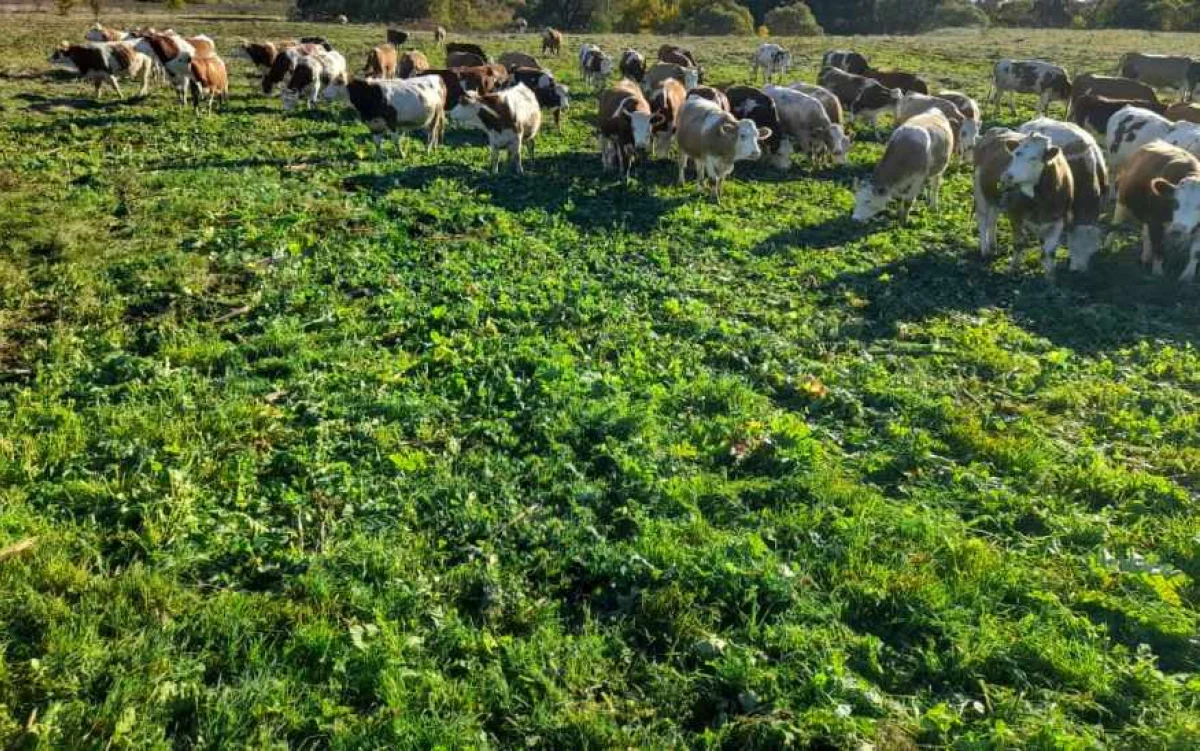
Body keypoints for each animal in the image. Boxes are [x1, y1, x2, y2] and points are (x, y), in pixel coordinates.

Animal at [1114, 141, 1200, 280]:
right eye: (1175, 202)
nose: (1178, 229)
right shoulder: (1155, 221)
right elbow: (1158, 247)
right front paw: (1158, 273)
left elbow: (1196, 252)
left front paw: (1187, 277)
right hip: (1121, 201)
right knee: (1116, 224)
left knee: (1145, 234)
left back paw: (1146, 257)